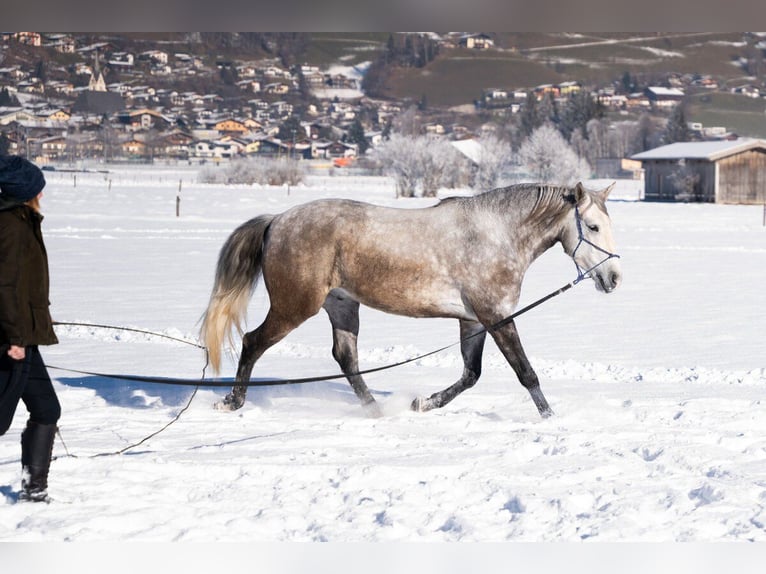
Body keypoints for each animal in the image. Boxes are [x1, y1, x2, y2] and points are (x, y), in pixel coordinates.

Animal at [201, 183, 620, 418]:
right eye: (593, 226)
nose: (613, 278)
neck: (496, 234)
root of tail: (277, 220)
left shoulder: (474, 320)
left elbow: (470, 374)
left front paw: (423, 403)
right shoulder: (496, 315)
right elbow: (525, 372)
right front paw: (550, 418)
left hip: (342, 305)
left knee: (346, 357)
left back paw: (377, 410)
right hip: (294, 307)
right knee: (253, 342)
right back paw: (232, 402)